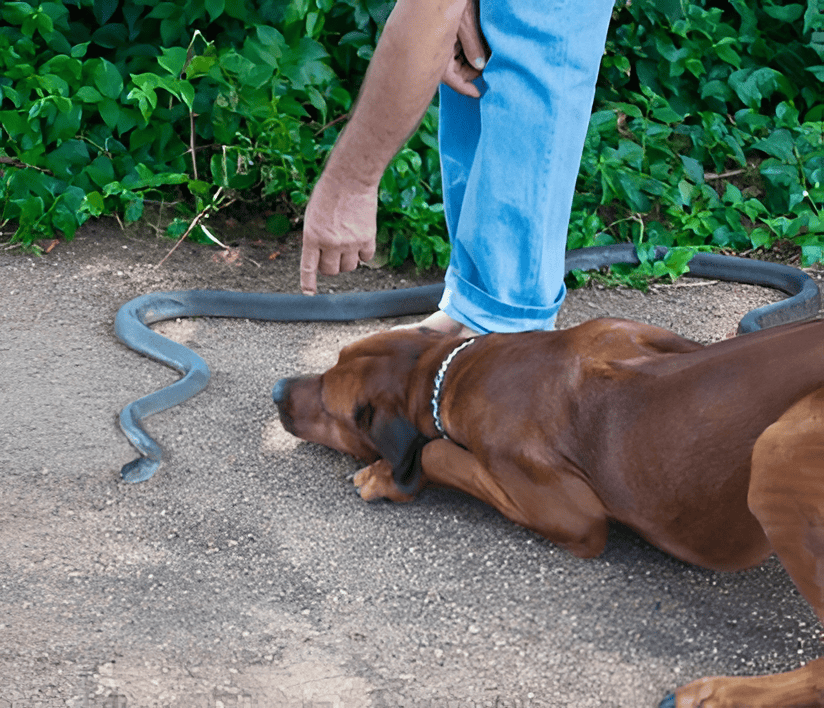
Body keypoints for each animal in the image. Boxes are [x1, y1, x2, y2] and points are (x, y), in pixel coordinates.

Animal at [272, 317, 824, 707]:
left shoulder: (574, 515)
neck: (449, 373)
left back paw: (717, 694)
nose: (277, 389)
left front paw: (389, 476)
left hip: (777, 451)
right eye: (334, 357)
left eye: (329, 406)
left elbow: (436, 453)